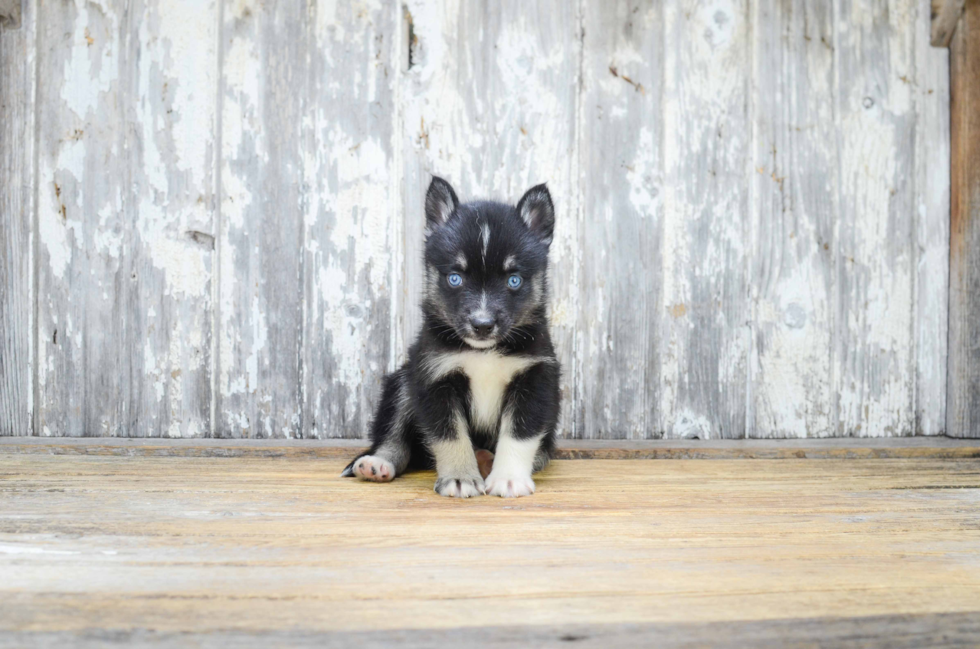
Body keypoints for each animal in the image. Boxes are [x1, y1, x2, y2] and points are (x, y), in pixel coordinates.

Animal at [342, 175, 560, 498]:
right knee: (395, 436)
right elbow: (450, 436)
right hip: (403, 382)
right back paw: (378, 463)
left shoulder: (534, 379)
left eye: (514, 280)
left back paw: (489, 459)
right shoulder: (434, 378)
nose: (482, 324)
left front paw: (509, 478)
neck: (483, 351)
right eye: (455, 278)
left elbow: (519, 434)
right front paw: (459, 478)